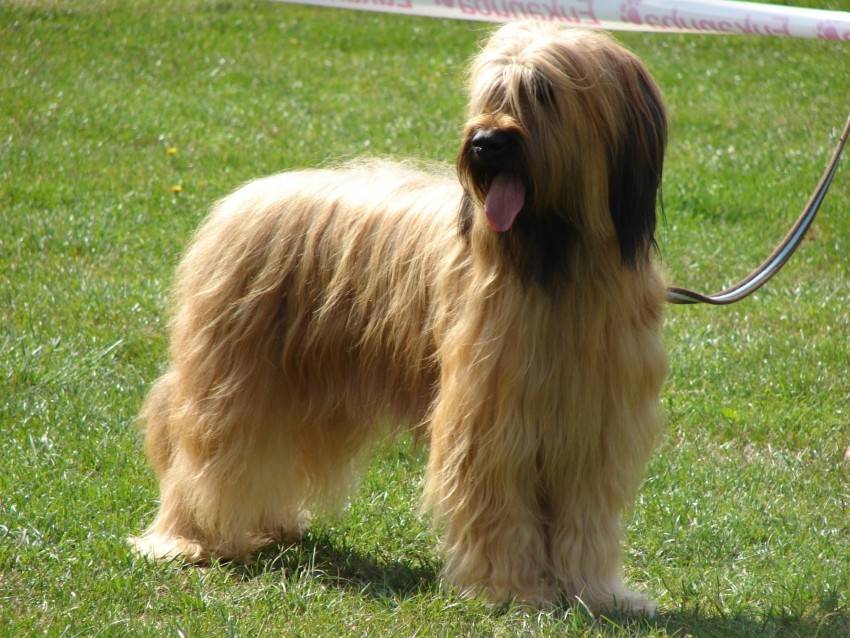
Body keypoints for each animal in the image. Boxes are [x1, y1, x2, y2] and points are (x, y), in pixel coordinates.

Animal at [130, 21, 668, 613]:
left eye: (543, 93)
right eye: (490, 95)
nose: (485, 143)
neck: (554, 268)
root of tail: (240, 200)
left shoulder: (591, 433)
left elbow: (583, 521)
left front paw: (594, 593)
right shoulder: (491, 426)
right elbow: (499, 509)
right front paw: (513, 591)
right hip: (233, 381)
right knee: (204, 455)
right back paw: (186, 539)